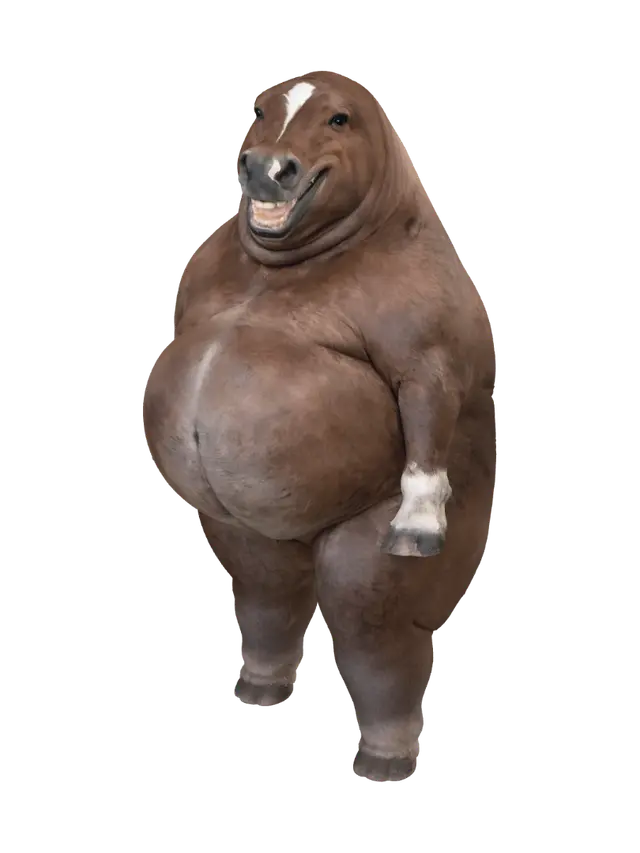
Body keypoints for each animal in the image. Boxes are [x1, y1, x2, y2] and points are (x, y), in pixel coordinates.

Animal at [142, 69, 496, 783]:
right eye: (259, 109)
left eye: (339, 119)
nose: (264, 167)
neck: (279, 269)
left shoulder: (425, 342)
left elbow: (427, 404)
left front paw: (420, 522)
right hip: (245, 531)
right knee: (268, 593)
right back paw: (258, 692)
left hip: (368, 562)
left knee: (376, 636)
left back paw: (384, 762)